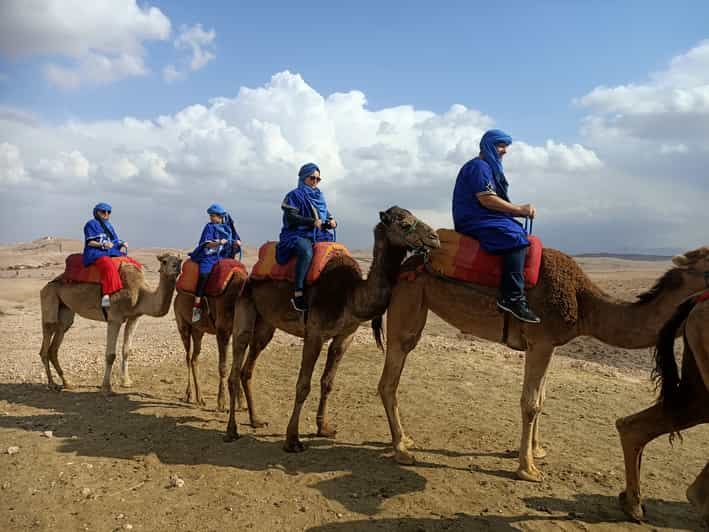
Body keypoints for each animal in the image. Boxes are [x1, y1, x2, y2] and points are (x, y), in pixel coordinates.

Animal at [39, 254, 181, 390]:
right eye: (164, 261)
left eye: (180, 260)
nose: (177, 267)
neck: (140, 292)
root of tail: (45, 286)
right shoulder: (114, 318)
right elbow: (110, 355)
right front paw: (106, 387)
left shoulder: (134, 317)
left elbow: (126, 350)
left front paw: (126, 382)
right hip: (49, 297)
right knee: (47, 335)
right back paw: (52, 384)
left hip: (66, 309)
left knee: (57, 340)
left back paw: (67, 383)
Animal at [173, 270, 248, 412]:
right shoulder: (222, 330)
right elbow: (223, 366)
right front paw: (221, 403)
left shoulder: (239, 333)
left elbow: (237, 366)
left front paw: (242, 404)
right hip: (182, 323)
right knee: (187, 356)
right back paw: (188, 395)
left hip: (198, 330)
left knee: (194, 358)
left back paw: (200, 398)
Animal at [224, 206, 440, 450]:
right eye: (403, 223)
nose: (435, 237)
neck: (350, 295)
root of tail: (250, 276)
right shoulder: (314, 334)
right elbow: (303, 385)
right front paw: (292, 439)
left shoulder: (345, 336)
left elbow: (327, 382)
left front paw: (324, 428)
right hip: (245, 307)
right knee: (235, 367)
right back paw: (231, 431)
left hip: (266, 324)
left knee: (248, 368)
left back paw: (256, 420)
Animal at [376, 243, 708, 480]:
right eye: (707, 267)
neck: (585, 305)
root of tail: (406, 265)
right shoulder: (541, 341)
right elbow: (531, 403)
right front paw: (527, 469)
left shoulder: (550, 345)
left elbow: (543, 398)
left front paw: (537, 451)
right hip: (409, 298)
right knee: (389, 379)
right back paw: (401, 449)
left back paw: (406, 440)